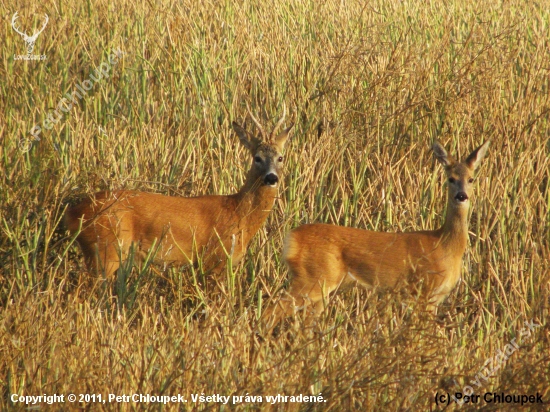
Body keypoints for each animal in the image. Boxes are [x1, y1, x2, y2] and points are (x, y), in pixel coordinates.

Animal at [64, 109, 294, 278]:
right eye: (257, 157)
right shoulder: (214, 260)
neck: (239, 214)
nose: (271, 178)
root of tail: (73, 212)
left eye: (281, 157)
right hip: (106, 249)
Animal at [268, 140, 492, 324]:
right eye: (451, 179)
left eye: (471, 179)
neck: (445, 245)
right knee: (273, 310)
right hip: (313, 279)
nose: (461, 196)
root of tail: (292, 237)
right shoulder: (424, 290)